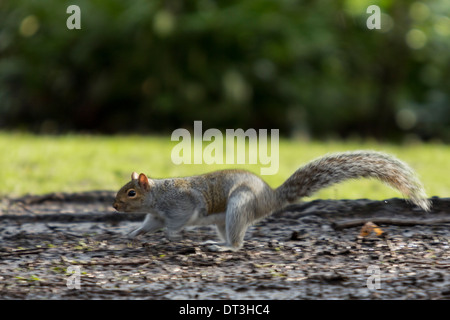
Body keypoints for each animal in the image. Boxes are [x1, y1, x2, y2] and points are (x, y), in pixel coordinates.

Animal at [111, 151, 428, 250]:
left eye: (131, 192)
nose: (113, 206)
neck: (157, 197)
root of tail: (269, 197)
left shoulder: (181, 205)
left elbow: (177, 222)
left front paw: (171, 235)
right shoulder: (155, 214)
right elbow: (147, 225)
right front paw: (132, 233)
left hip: (239, 204)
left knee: (237, 244)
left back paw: (222, 248)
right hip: (226, 219)